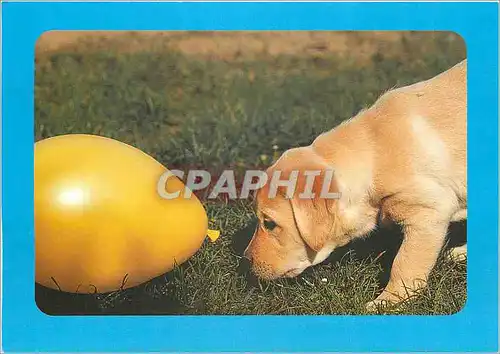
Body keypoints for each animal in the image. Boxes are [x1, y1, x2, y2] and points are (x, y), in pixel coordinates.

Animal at [244, 60, 466, 310]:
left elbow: (404, 263)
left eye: (270, 223)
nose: (245, 260)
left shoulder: (427, 213)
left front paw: (387, 302)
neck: (373, 152)